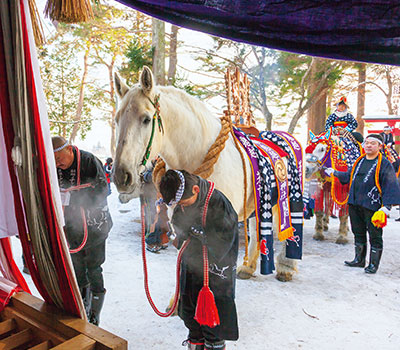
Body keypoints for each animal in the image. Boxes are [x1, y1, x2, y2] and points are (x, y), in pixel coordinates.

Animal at [112, 66, 296, 282]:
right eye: (117, 119)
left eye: (146, 119)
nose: (121, 176)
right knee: (255, 226)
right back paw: (248, 266)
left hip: (287, 202)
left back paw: (286, 266)